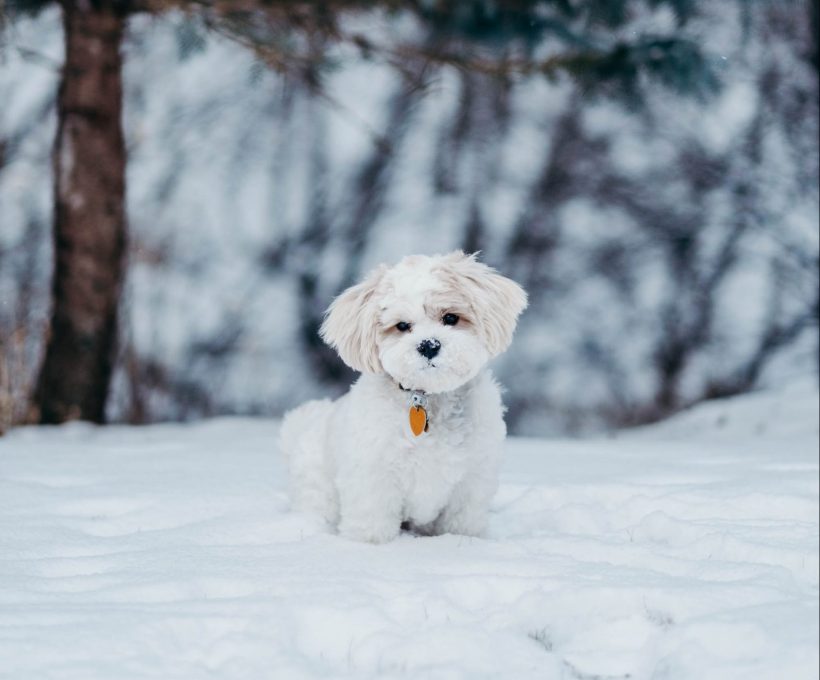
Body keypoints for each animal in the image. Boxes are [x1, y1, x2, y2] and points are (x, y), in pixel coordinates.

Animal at [278, 250, 528, 540]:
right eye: (402, 325)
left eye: (450, 318)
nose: (429, 345)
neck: (428, 398)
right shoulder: (373, 475)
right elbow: (372, 521)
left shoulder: (472, 480)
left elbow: (462, 523)